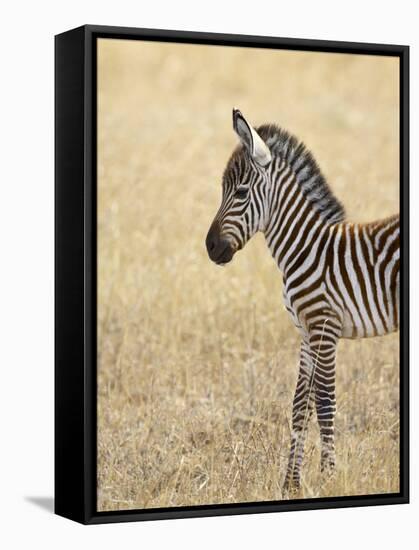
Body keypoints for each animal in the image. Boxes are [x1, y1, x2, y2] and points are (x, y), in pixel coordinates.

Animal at [207, 109, 400, 496]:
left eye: (240, 192)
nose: (209, 247)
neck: (304, 246)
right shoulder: (306, 333)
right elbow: (300, 405)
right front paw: (291, 484)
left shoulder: (324, 326)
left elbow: (325, 403)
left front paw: (328, 478)